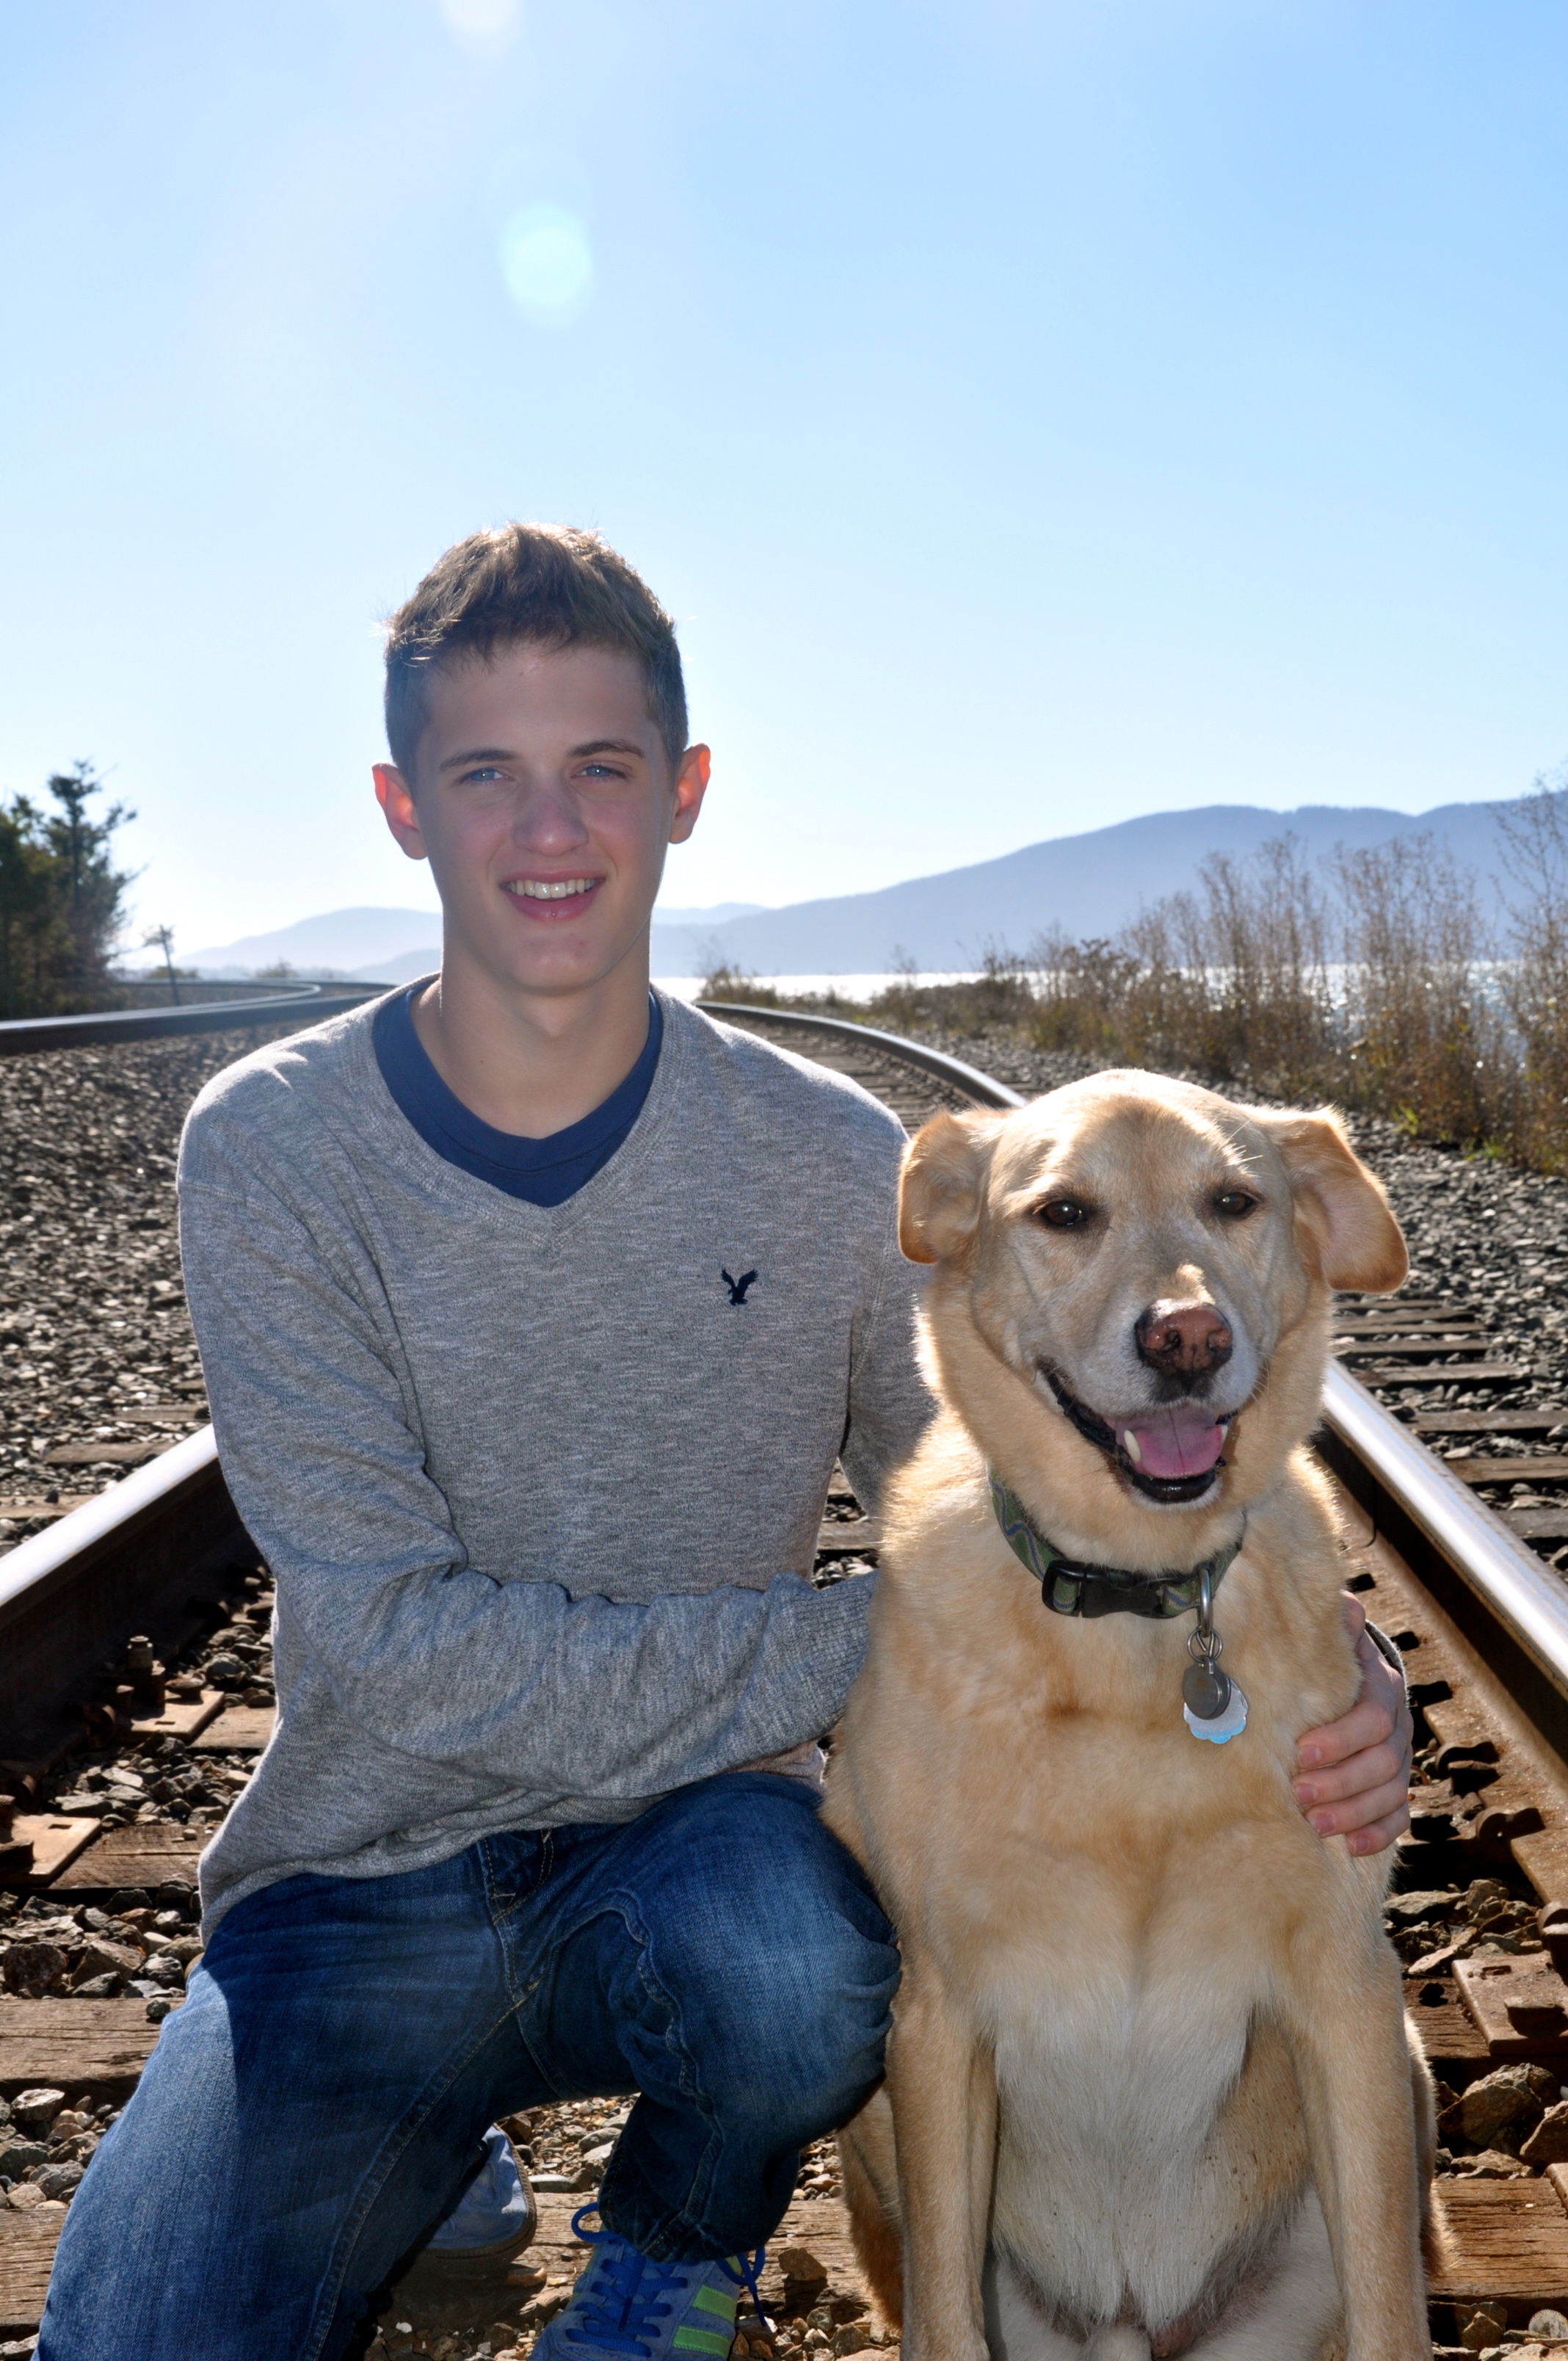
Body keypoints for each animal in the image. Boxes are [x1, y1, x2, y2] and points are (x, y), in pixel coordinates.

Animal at [822, 1069, 1434, 2361]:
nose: (1189, 1338)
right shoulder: (938, 2015)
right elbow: (946, 2322)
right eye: (1065, 1213)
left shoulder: (1347, 1995)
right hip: (874, 2132)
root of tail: (1132, 2332)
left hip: (1404, 2083)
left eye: (1234, 1201)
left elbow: (1391, 2313)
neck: (1141, 1612)